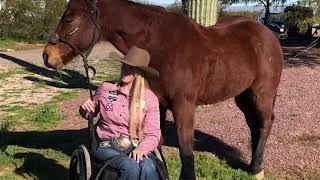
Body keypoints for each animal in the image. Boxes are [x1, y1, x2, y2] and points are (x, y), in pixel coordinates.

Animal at [43, 0, 282, 179]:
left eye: (68, 19)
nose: (47, 56)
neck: (163, 47)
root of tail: (269, 35)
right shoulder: (158, 103)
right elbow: (157, 141)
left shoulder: (183, 106)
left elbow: (185, 148)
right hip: (243, 96)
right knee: (254, 125)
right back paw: (252, 165)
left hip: (261, 94)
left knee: (265, 123)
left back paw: (256, 168)